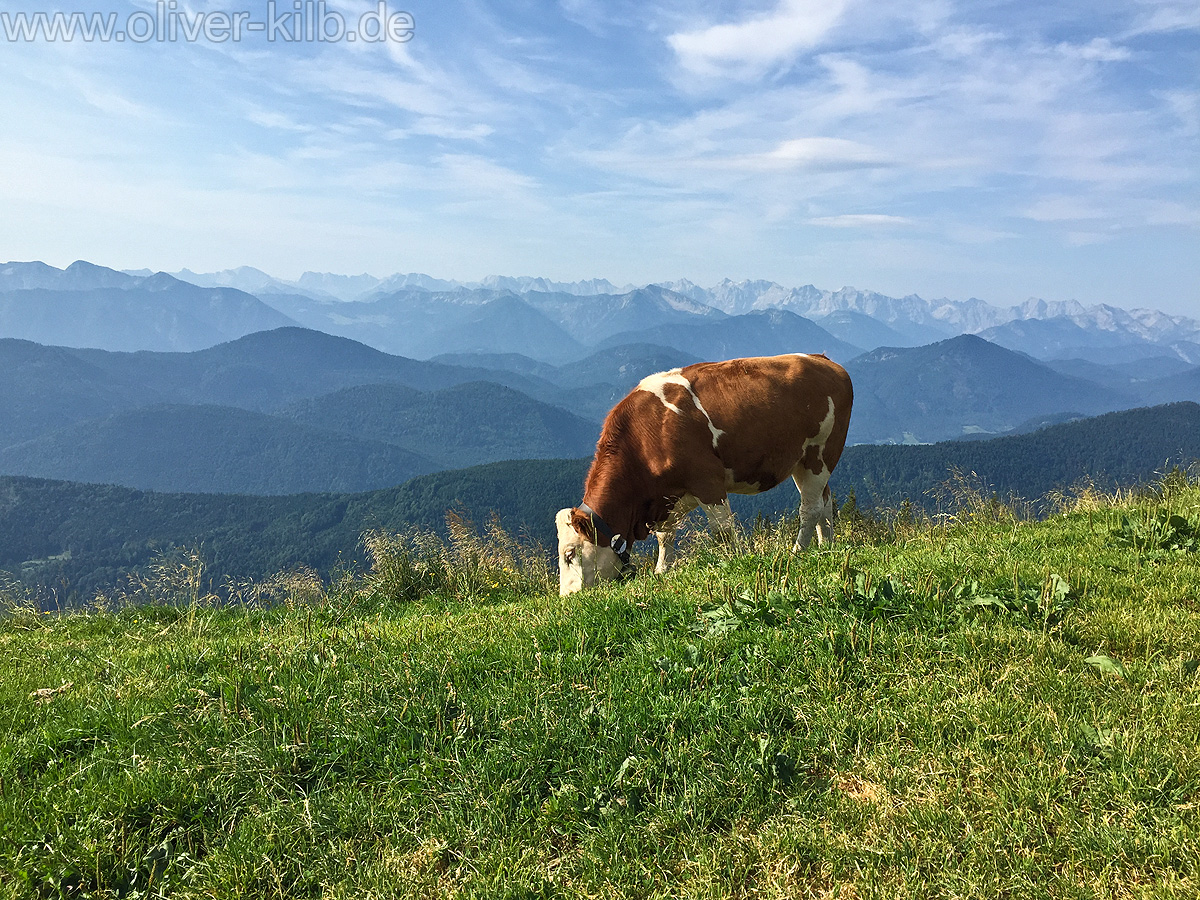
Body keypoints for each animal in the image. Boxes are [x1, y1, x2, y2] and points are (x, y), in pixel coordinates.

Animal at [559, 355, 854, 600]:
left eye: (570, 554)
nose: (567, 597)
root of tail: (823, 360)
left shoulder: (707, 480)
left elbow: (723, 530)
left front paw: (733, 561)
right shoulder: (668, 497)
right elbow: (665, 537)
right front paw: (661, 571)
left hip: (821, 453)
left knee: (810, 509)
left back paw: (798, 551)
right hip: (802, 462)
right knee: (825, 503)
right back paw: (826, 546)